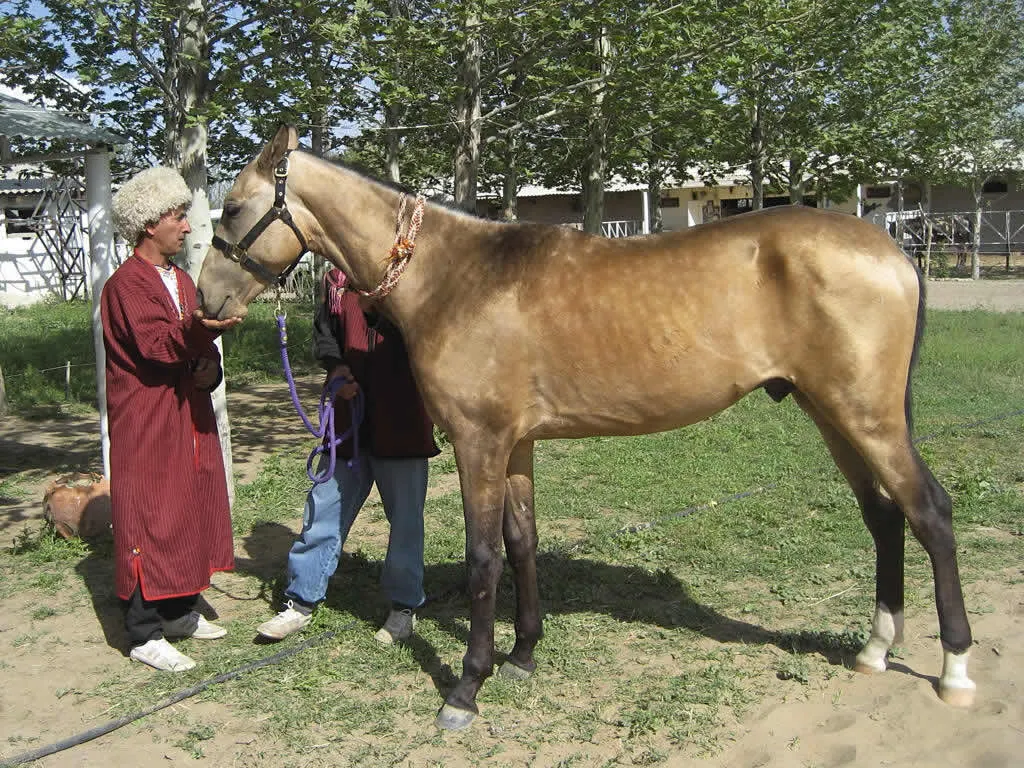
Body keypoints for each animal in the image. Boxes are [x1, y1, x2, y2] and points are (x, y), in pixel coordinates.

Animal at [196, 125, 976, 730]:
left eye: (231, 208)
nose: (206, 300)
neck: (457, 276)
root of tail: (894, 253)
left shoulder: (479, 443)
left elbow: (483, 560)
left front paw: (466, 688)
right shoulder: (516, 446)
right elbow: (523, 545)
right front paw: (522, 657)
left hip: (868, 418)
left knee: (929, 513)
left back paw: (955, 669)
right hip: (834, 416)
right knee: (883, 517)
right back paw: (874, 649)